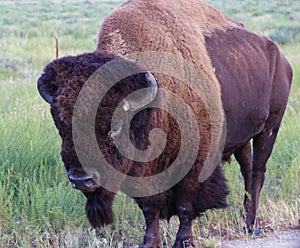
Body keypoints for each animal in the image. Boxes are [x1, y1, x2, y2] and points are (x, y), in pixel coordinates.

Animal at [37, 0, 290, 247]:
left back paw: (250, 224)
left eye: (114, 128)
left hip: (270, 128)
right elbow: (150, 207)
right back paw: (245, 218)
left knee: (257, 173)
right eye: (62, 126)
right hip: (242, 139)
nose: (81, 179)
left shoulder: (194, 161)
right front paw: (149, 242)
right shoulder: (144, 173)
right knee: (246, 169)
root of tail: (281, 58)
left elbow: (186, 204)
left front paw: (184, 240)